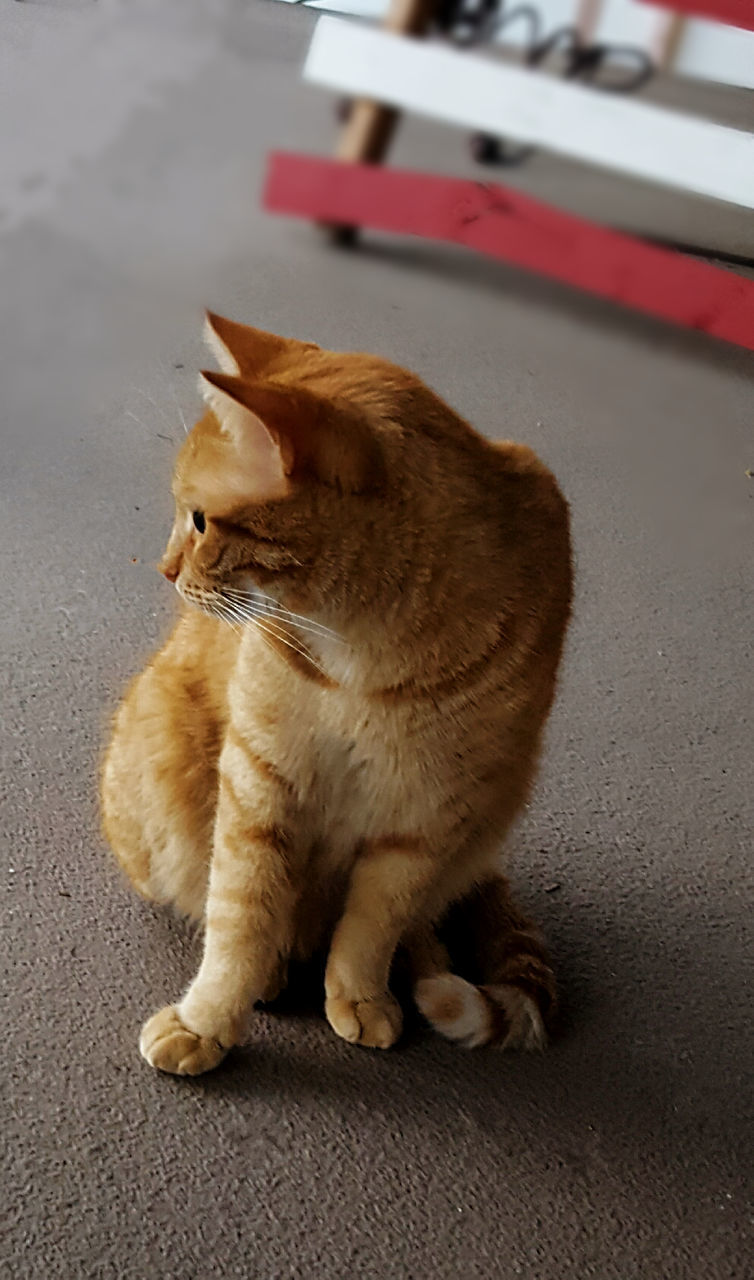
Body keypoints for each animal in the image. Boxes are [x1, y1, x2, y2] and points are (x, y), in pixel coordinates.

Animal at [101, 314, 570, 1075]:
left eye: (199, 521)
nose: (166, 570)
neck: (369, 655)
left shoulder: (428, 817)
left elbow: (372, 926)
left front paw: (360, 994)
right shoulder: (259, 787)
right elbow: (239, 922)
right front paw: (209, 1022)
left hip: (488, 820)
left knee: (413, 924)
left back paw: (423, 963)